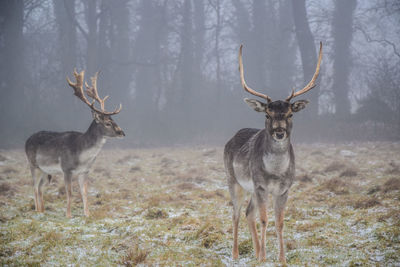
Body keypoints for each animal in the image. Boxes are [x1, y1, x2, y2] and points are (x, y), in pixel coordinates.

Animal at [25, 70, 124, 219]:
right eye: (107, 123)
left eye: (114, 120)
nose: (122, 132)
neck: (82, 155)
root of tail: (26, 140)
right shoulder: (66, 169)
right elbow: (70, 193)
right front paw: (68, 215)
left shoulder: (85, 171)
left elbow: (84, 193)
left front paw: (87, 214)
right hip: (33, 165)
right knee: (35, 187)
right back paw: (37, 211)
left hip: (46, 171)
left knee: (41, 187)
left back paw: (42, 210)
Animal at [225, 42, 322, 264]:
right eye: (268, 114)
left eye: (290, 113)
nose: (279, 132)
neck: (276, 172)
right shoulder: (261, 185)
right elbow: (264, 219)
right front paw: (263, 258)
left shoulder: (284, 189)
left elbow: (279, 222)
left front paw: (281, 259)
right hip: (233, 180)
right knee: (235, 214)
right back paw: (236, 254)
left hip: (251, 188)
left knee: (247, 213)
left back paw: (255, 251)